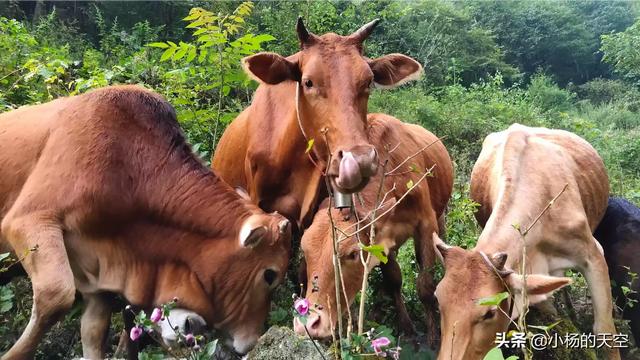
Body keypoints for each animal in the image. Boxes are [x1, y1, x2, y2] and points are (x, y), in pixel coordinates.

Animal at [0, 86, 292, 358]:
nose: (250, 342)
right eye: (269, 275)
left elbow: (94, 332)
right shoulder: (28, 219)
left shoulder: (96, 279)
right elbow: (56, 296)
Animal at [292, 113, 452, 346]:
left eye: (352, 254)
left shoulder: (426, 223)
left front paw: (433, 338)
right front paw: (407, 327)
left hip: (441, 215)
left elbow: (425, 286)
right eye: (305, 251)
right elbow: (394, 279)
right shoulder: (382, 239)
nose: (310, 323)